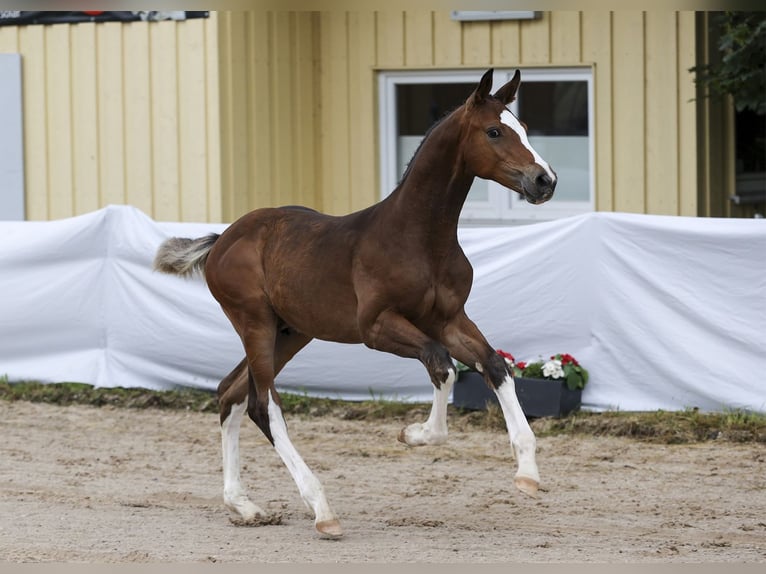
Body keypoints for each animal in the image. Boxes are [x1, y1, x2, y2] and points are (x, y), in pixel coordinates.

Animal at [154, 67, 560, 540]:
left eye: (525, 127)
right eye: (494, 131)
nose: (544, 181)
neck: (420, 238)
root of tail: (223, 239)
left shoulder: (449, 319)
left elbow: (495, 365)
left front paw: (527, 473)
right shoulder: (376, 327)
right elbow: (441, 364)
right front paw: (415, 434)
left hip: (291, 332)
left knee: (229, 392)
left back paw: (245, 505)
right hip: (254, 323)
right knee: (262, 404)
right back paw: (321, 509)